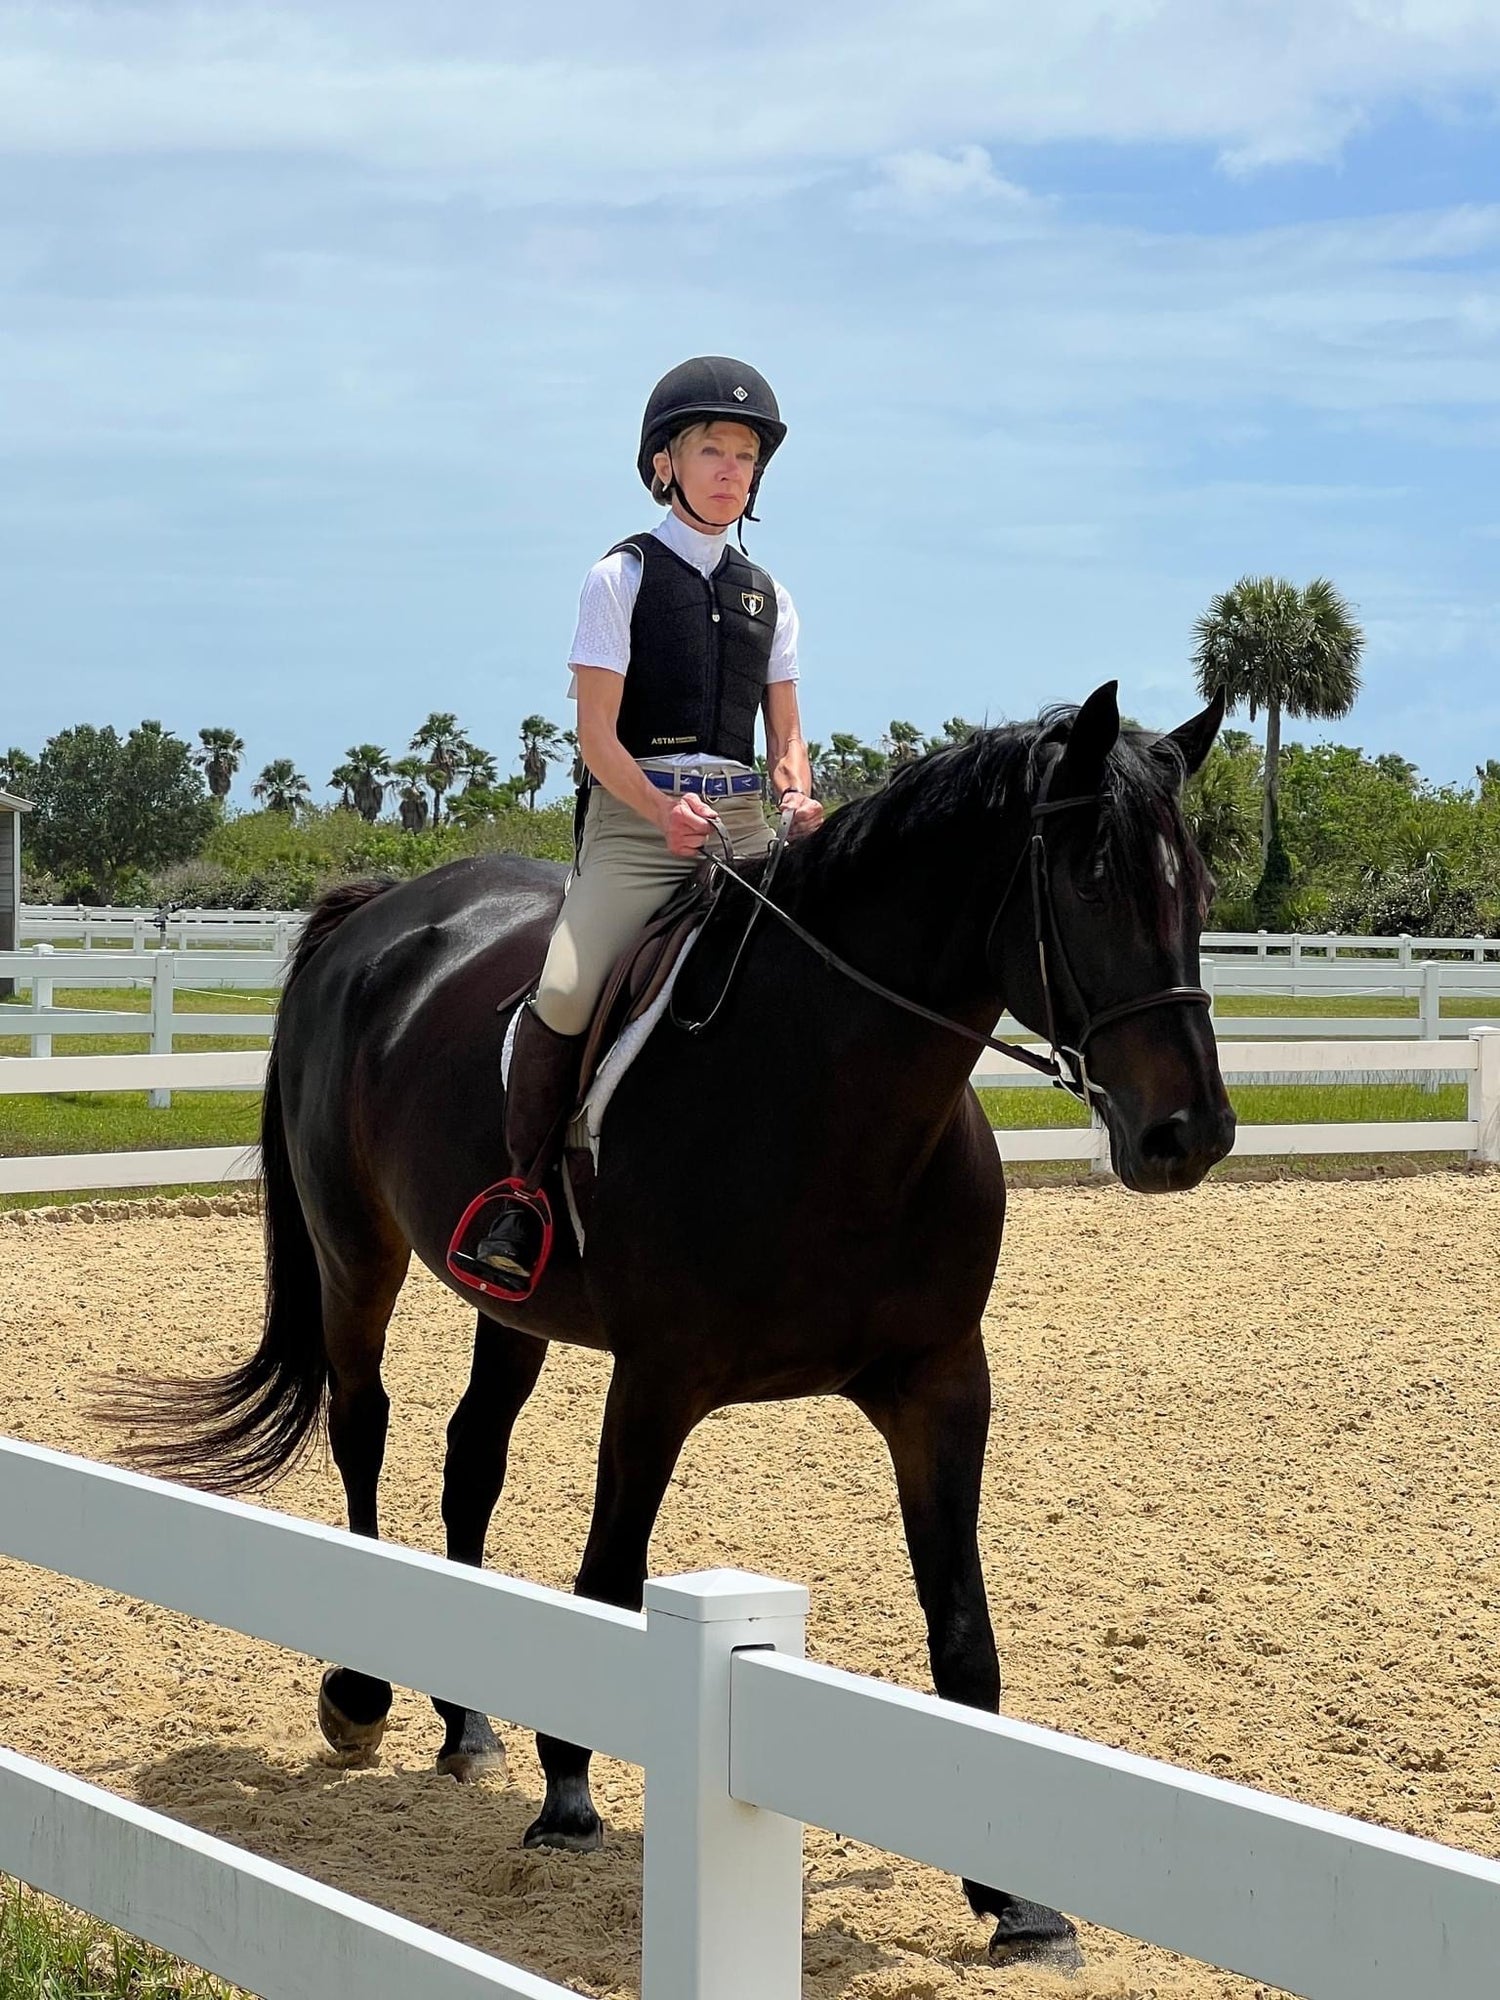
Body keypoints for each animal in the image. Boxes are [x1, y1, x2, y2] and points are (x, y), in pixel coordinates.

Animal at [112, 681, 1234, 1969]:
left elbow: (963, 1630)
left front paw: (1017, 1902)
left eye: (1201, 890)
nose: (1190, 1131)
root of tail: (377, 914)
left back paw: (466, 1720)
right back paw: (363, 1692)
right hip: (358, 1255)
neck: (829, 1096)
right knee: (365, 1433)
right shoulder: (656, 1382)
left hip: (512, 1304)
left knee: (468, 1461)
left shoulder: (943, 1383)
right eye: (1093, 881)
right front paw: (566, 1797)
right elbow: (609, 1577)